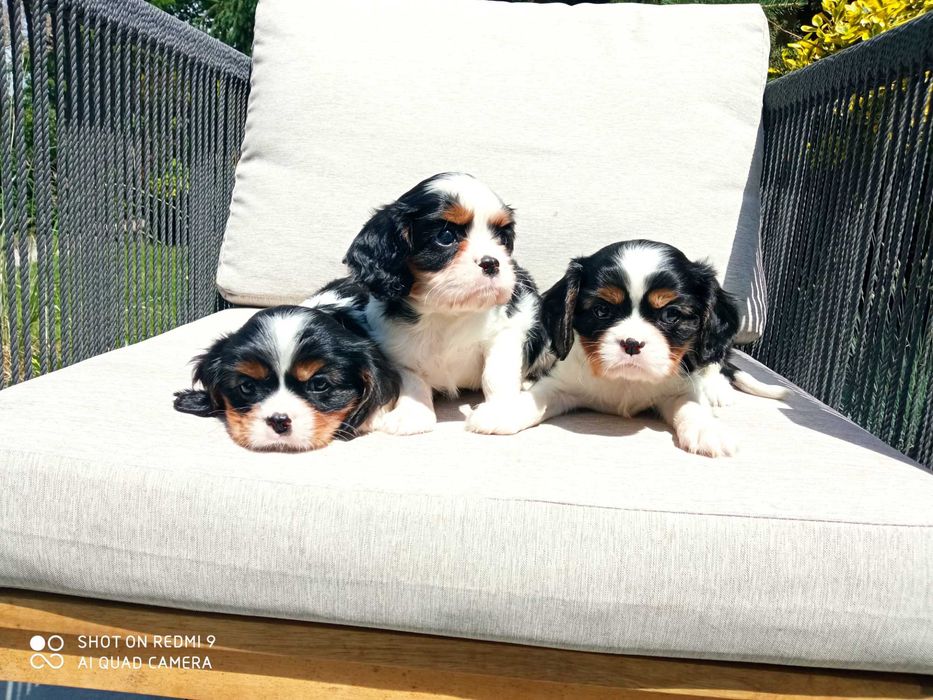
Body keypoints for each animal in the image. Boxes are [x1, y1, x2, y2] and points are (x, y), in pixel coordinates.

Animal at [342, 173, 548, 434]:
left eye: (502, 238)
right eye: (446, 236)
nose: (492, 262)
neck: (447, 311)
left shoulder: (506, 331)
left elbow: (496, 374)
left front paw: (499, 411)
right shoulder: (394, 347)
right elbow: (411, 379)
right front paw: (412, 413)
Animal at [466, 241, 788, 456]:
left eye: (671, 314)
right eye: (601, 311)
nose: (632, 344)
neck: (625, 381)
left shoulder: (679, 388)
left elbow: (691, 405)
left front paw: (708, 430)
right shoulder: (561, 383)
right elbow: (535, 398)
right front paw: (501, 412)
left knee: (715, 362)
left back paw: (717, 389)